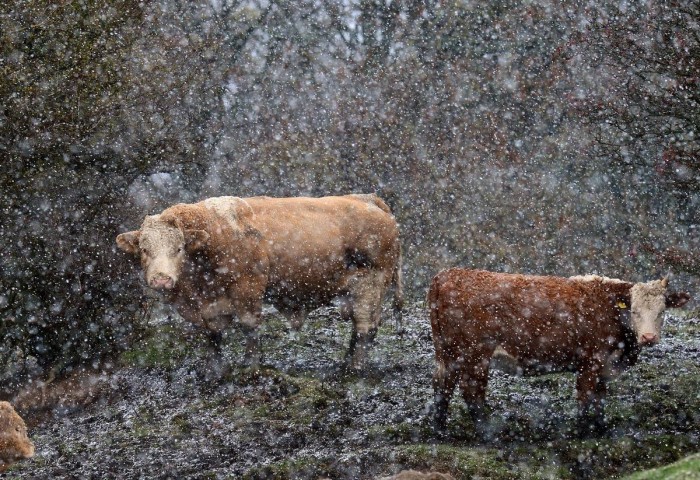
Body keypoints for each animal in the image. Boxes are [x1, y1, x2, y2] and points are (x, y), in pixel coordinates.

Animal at [114, 193, 400, 370]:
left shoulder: (248, 288)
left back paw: (355, 367)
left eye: (179, 248)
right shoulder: (210, 305)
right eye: (144, 249)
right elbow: (213, 334)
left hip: (370, 285)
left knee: (364, 327)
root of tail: (368, 200)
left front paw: (250, 366)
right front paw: (215, 369)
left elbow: (249, 327)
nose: (161, 279)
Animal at [426, 270, 688, 436]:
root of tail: (449, 274)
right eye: (634, 311)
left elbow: (600, 398)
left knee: (443, 384)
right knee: (472, 391)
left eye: (662, 311)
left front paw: (601, 429)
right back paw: (487, 433)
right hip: (476, 353)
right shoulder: (591, 361)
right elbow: (585, 397)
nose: (649, 337)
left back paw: (440, 430)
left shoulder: (604, 364)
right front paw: (583, 432)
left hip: (449, 352)